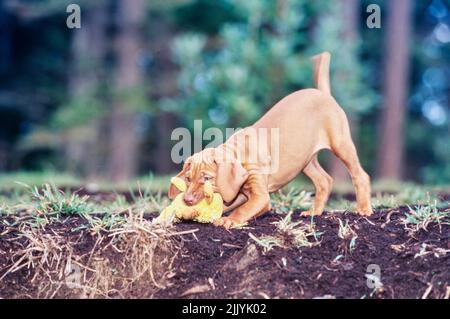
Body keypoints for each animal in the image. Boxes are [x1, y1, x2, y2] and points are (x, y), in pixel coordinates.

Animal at [169, 53, 372, 231]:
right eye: (188, 178)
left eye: (207, 178)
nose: (187, 200)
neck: (239, 153)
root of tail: (323, 94)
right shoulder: (240, 194)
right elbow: (228, 205)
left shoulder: (260, 197)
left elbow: (242, 209)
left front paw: (229, 220)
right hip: (304, 159)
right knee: (324, 180)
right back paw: (314, 212)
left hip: (341, 143)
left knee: (360, 176)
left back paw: (363, 210)